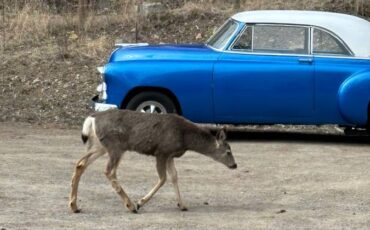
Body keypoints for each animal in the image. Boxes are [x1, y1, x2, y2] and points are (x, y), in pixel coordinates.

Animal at [69, 108, 237, 213]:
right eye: (228, 152)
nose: (234, 165)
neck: (185, 138)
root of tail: (92, 118)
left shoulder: (170, 155)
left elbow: (174, 177)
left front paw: (182, 205)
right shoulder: (161, 151)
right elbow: (163, 178)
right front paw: (140, 202)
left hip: (101, 146)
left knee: (80, 164)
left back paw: (74, 206)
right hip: (116, 146)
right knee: (109, 171)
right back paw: (131, 205)